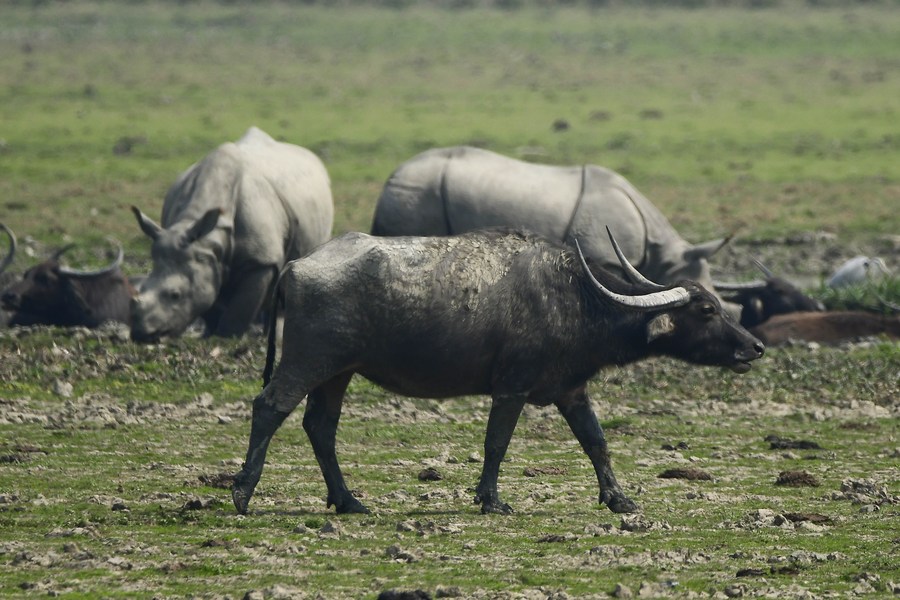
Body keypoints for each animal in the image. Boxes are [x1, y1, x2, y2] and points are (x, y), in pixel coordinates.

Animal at [132, 125, 332, 342]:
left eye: (175, 295)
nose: (142, 334)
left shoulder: (261, 261)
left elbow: (240, 310)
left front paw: (225, 339)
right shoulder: (207, 258)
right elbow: (208, 299)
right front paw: (207, 336)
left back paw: (273, 338)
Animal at [230, 227, 760, 516]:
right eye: (708, 310)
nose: (753, 347)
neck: (576, 298)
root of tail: (297, 266)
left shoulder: (572, 390)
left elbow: (597, 442)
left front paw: (619, 499)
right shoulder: (512, 388)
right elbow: (496, 443)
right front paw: (490, 500)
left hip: (338, 373)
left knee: (320, 426)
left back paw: (348, 500)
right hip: (310, 360)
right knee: (270, 407)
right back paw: (242, 492)